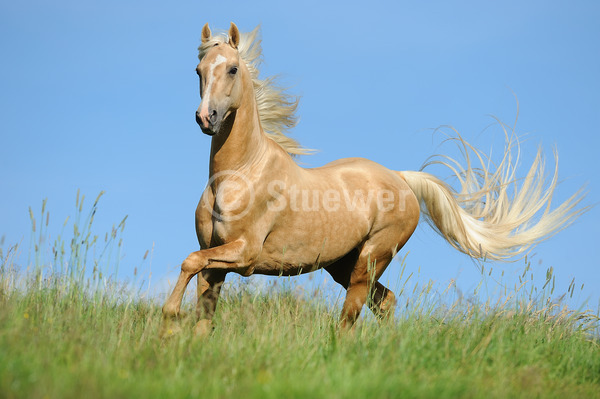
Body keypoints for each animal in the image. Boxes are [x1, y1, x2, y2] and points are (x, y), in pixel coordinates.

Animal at [162, 21, 584, 334]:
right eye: (199, 71)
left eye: (232, 68)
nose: (206, 118)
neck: (239, 175)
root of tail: (400, 179)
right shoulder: (218, 259)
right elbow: (202, 305)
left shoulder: (245, 254)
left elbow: (188, 262)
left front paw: (168, 317)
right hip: (343, 265)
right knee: (385, 302)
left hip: (369, 259)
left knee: (352, 316)